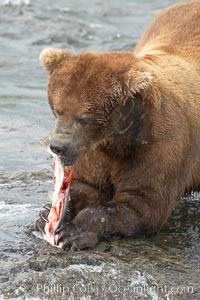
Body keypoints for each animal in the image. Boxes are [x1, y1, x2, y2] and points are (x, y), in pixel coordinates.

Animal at [36, 1, 200, 250]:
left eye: (84, 117)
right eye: (57, 110)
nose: (58, 147)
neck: (121, 137)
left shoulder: (161, 146)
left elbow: (142, 204)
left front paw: (73, 233)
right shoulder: (94, 153)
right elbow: (86, 185)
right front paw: (47, 214)